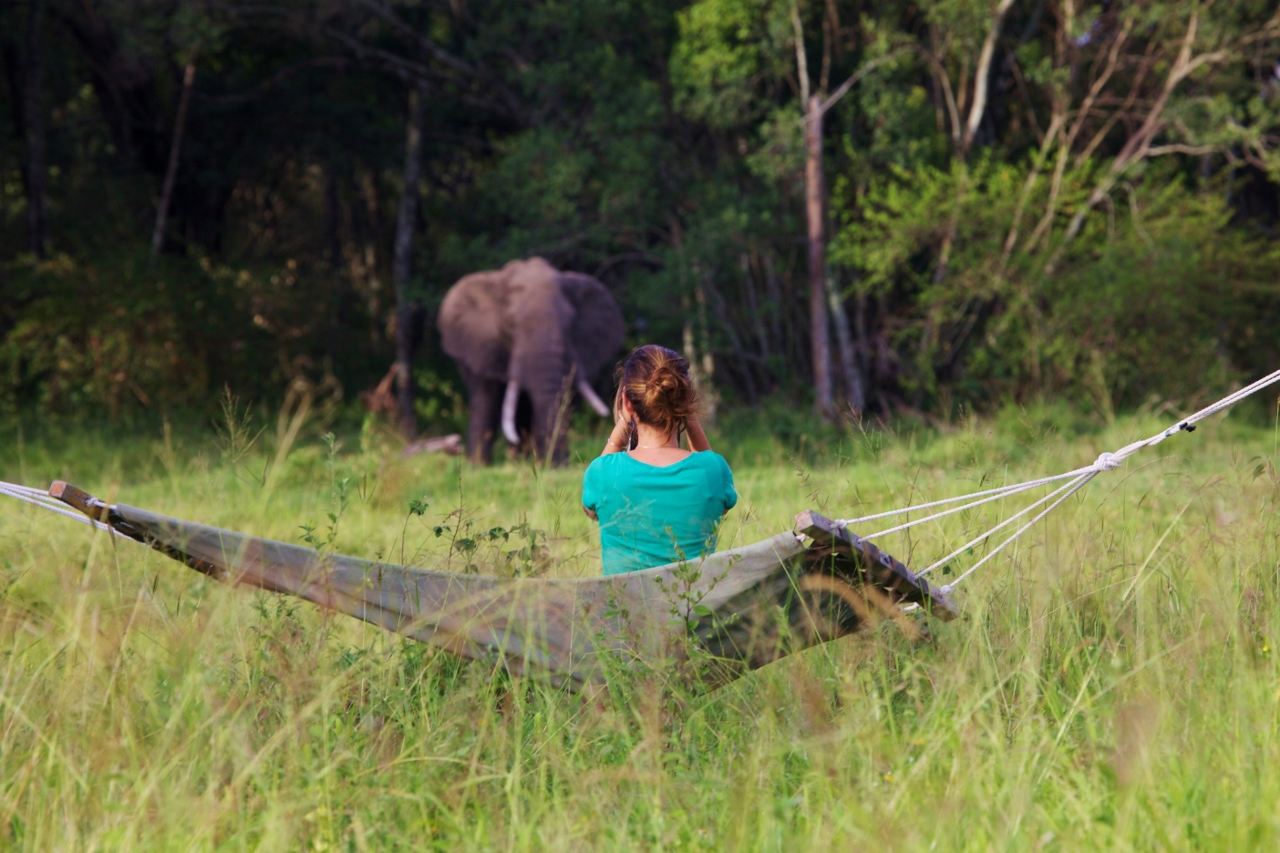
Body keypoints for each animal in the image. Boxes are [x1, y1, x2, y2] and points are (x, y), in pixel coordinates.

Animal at [438, 257, 626, 464]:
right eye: (511, 323)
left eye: (571, 322)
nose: (558, 464)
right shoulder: (483, 345)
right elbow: (487, 397)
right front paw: (479, 466)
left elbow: (565, 399)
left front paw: (550, 464)